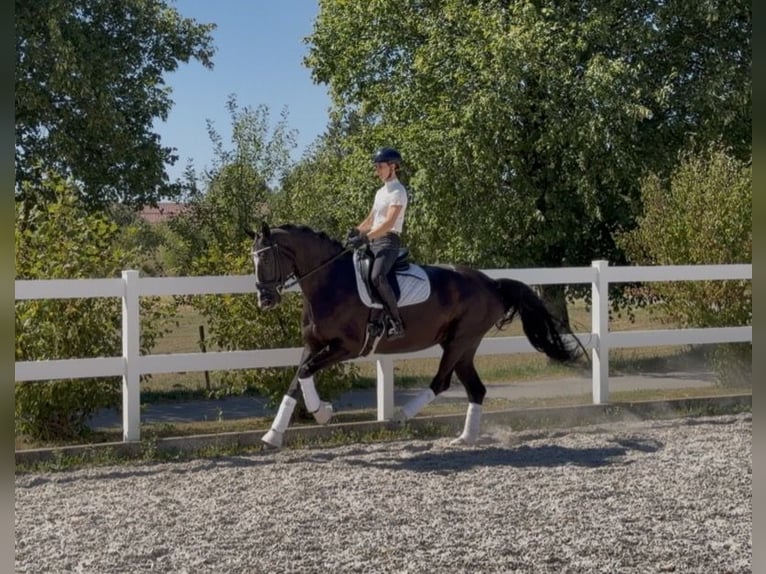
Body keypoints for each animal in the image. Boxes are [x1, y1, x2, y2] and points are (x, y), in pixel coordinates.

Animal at [247, 222, 581, 448]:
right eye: (253, 258)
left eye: (266, 258)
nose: (265, 300)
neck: (330, 282)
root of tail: (491, 283)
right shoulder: (313, 344)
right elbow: (297, 379)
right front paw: (274, 434)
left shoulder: (348, 347)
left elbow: (305, 372)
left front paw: (322, 414)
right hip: (464, 346)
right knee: (476, 389)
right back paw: (465, 438)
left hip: (460, 341)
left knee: (442, 382)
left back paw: (400, 416)